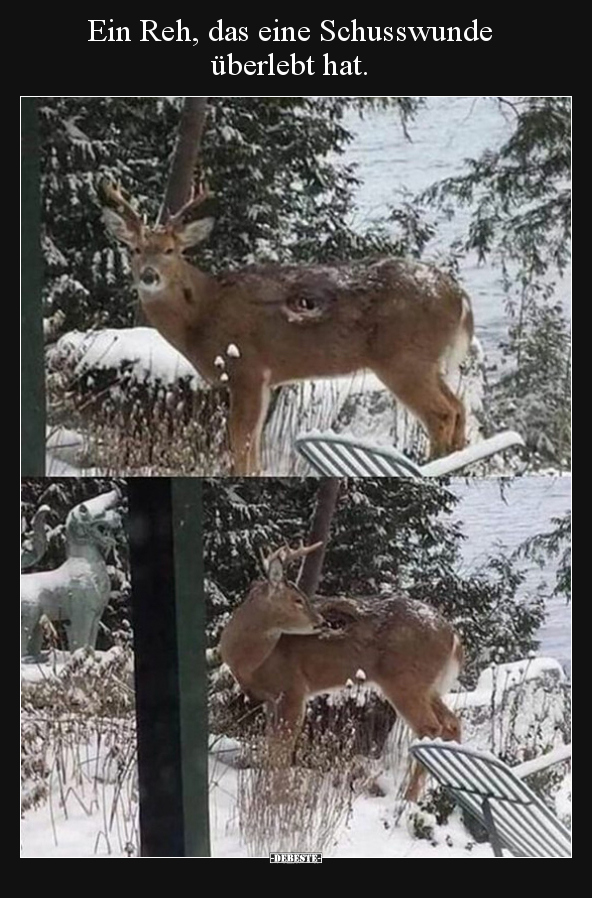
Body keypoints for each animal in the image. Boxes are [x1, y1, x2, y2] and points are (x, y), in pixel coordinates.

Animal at [99, 181, 474, 476]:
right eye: (135, 249)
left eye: (170, 250)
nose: (149, 275)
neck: (202, 313)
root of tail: (458, 296)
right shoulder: (265, 380)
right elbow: (253, 449)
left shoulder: (246, 368)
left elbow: (241, 443)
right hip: (426, 361)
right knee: (458, 407)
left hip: (402, 358)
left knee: (442, 415)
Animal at [219, 540, 462, 800]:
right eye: (297, 599)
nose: (322, 622)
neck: (250, 660)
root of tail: (453, 637)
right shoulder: (271, 700)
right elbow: (271, 747)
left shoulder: (293, 688)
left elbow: (281, 752)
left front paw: (276, 798)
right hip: (429, 686)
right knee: (452, 723)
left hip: (405, 680)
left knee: (431, 728)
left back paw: (407, 798)